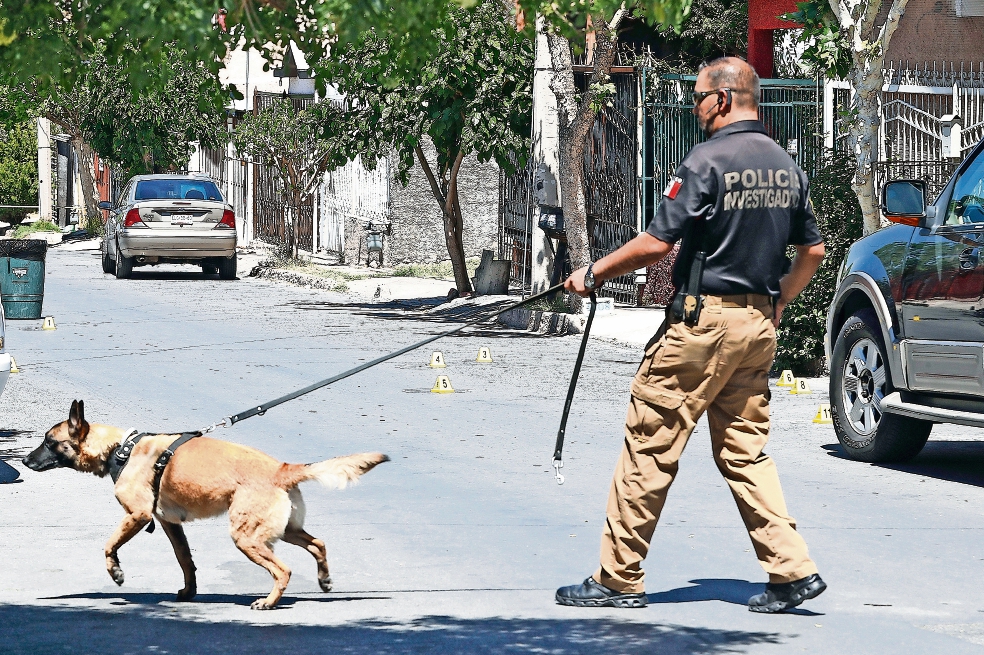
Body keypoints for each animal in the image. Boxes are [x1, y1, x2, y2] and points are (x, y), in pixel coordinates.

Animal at [22, 400, 388, 608]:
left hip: (247, 537)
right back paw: (324, 580)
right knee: (318, 544)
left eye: (49, 442)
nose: (24, 461)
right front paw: (189, 592)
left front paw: (116, 573)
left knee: (283, 570)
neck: (120, 449)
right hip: (283, 531)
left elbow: (109, 545)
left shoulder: (137, 515)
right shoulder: (170, 524)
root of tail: (283, 468)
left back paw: (269, 603)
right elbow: (185, 559)